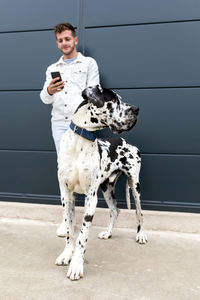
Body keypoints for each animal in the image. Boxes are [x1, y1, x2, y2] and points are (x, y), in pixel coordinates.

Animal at [54, 85, 147, 282]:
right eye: (114, 99)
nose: (136, 109)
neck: (79, 142)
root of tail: (127, 142)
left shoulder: (91, 197)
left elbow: (82, 237)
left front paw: (76, 265)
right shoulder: (66, 195)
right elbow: (69, 230)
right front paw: (67, 254)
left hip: (135, 186)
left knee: (139, 212)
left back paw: (141, 234)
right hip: (106, 187)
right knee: (115, 209)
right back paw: (108, 232)